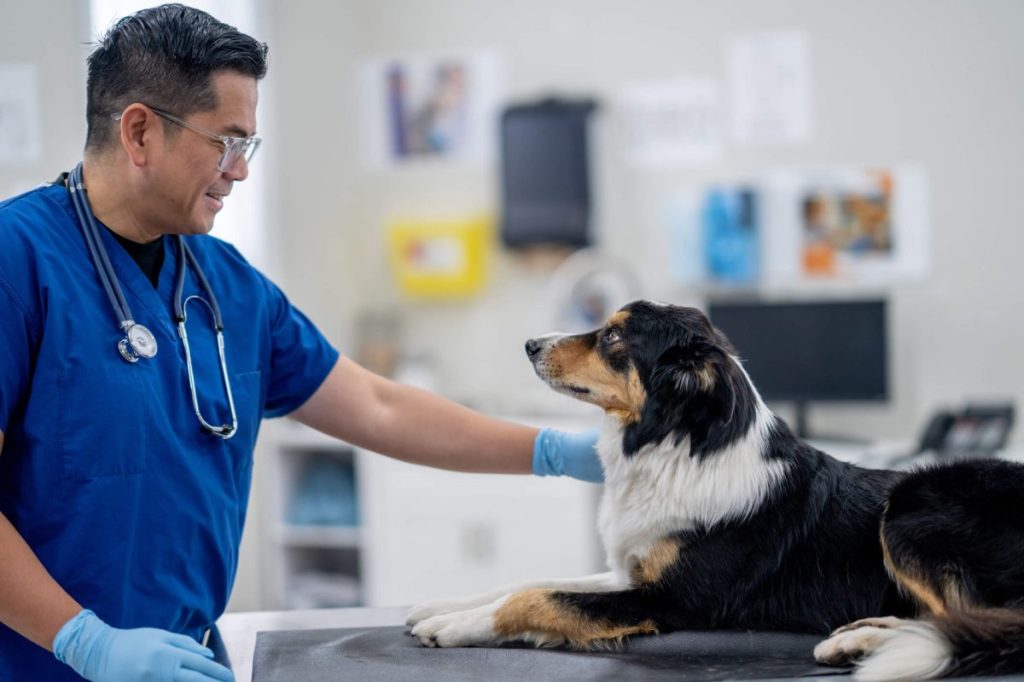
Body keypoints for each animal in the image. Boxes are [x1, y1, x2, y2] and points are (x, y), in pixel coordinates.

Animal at [405, 301, 1024, 675]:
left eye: (613, 335)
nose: (531, 343)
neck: (673, 448)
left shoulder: (672, 598)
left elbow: (539, 598)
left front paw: (454, 626)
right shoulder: (629, 569)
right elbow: (527, 582)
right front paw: (442, 605)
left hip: (910, 507)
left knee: (989, 624)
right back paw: (860, 638)